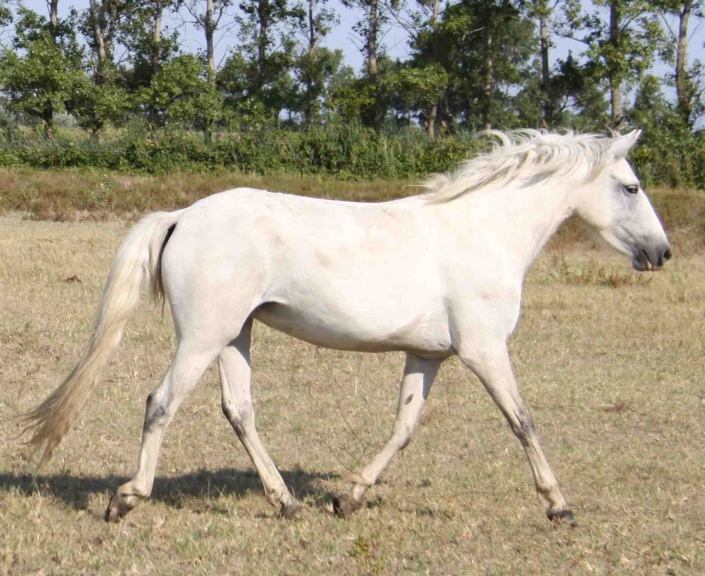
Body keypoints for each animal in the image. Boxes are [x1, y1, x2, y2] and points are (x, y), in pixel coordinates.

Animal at [23, 128, 672, 524]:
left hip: (235, 334)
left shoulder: (428, 355)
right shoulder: (485, 350)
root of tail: (183, 216)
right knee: (161, 402)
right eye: (631, 187)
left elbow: (404, 427)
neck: (483, 231)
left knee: (239, 410)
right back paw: (127, 499)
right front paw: (559, 507)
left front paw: (348, 498)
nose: (661, 253)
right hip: (204, 336)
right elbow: (524, 422)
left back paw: (286, 503)